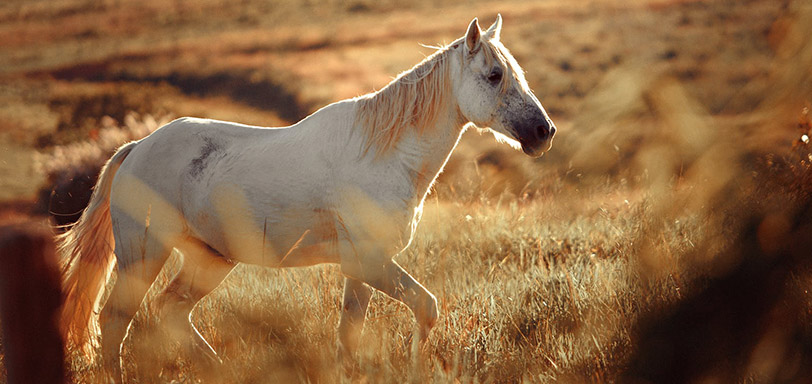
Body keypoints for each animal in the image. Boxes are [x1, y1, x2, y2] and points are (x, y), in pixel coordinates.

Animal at [57, 15, 552, 380]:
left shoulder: (361, 269)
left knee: (170, 313)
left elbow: (349, 337)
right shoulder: (370, 262)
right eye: (494, 75)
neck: (385, 154)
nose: (543, 133)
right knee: (115, 322)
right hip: (143, 254)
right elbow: (426, 308)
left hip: (209, 260)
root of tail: (137, 148)